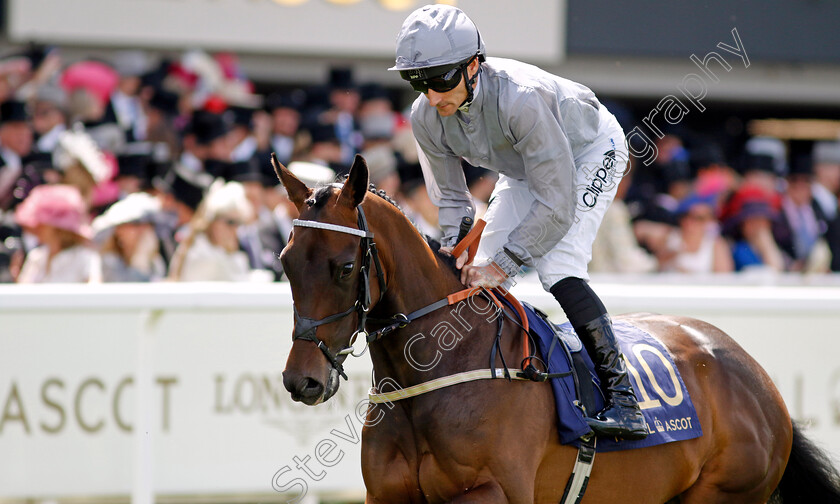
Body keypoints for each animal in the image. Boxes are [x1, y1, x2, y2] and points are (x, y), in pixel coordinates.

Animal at [278, 155, 840, 504]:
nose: (301, 379)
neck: (439, 369)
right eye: (285, 262)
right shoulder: (387, 494)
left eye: (344, 267)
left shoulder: (491, 492)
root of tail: (757, 377)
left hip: (725, 491)